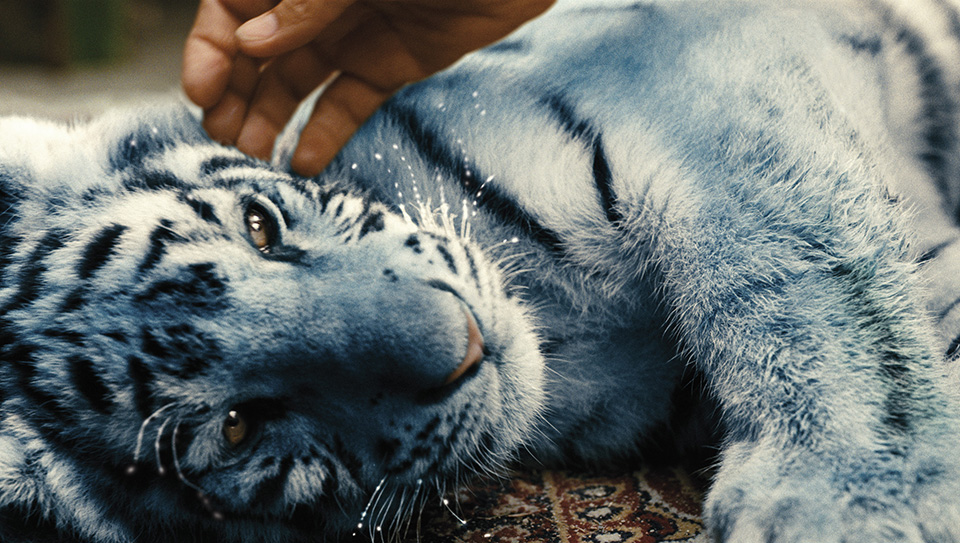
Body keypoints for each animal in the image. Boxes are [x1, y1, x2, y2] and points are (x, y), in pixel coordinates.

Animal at [2, 0, 960, 541]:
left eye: (261, 227)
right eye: (239, 426)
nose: (463, 342)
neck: (563, 333)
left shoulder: (686, 74)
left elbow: (800, 272)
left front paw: (852, 494)